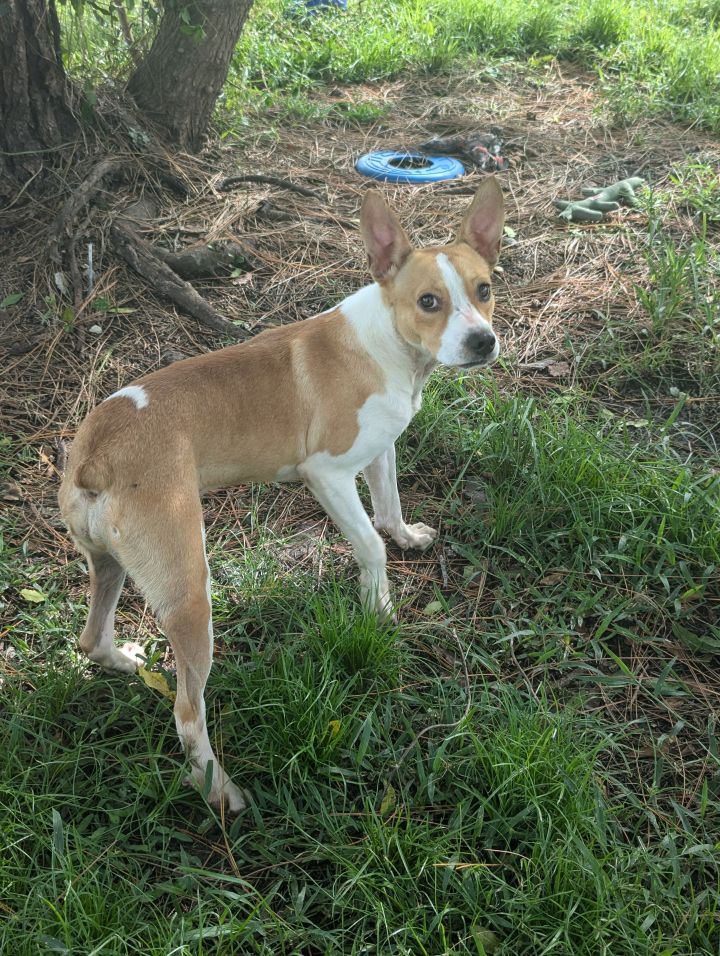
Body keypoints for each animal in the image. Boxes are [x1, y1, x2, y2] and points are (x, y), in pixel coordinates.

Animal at [57, 176, 506, 812]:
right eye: (428, 302)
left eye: (484, 289)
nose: (482, 341)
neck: (387, 340)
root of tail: (97, 450)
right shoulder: (328, 475)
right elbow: (369, 544)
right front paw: (379, 609)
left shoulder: (380, 452)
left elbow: (389, 507)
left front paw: (406, 537)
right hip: (191, 594)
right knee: (187, 713)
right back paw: (219, 789)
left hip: (110, 566)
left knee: (92, 639)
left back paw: (122, 660)